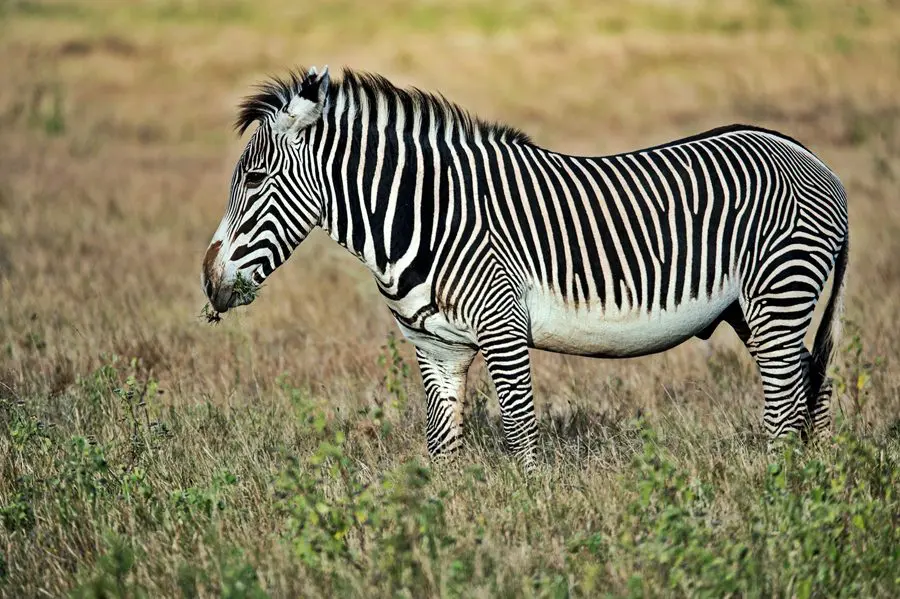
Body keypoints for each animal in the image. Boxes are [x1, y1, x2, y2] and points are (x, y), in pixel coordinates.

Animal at [202, 66, 849, 468]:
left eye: (254, 179)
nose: (209, 282)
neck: (426, 216)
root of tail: (807, 154)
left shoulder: (503, 326)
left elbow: (520, 428)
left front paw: (535, 507)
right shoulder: (436, 347)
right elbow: (442, 444)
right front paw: (442, 525)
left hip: (779, 294)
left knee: (784, 398)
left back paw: (777, 484)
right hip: (753, 308)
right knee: (809, 384)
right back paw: (809, 479)